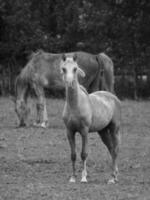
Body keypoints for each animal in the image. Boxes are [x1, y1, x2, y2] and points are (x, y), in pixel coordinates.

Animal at [60, 54, 121, 184]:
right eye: (63, 68)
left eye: (75, 68)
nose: (69, 82)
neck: (75, 105)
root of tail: (113, 97)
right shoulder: (69, 132)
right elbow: (73, 155)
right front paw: (72, 178)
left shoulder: (84, 131)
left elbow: (84, 154)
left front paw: (83, 178)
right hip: (103, 132)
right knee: (111, 149)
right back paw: (114, 176)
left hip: (114, 129)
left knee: (115, 150)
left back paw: (112, 178)